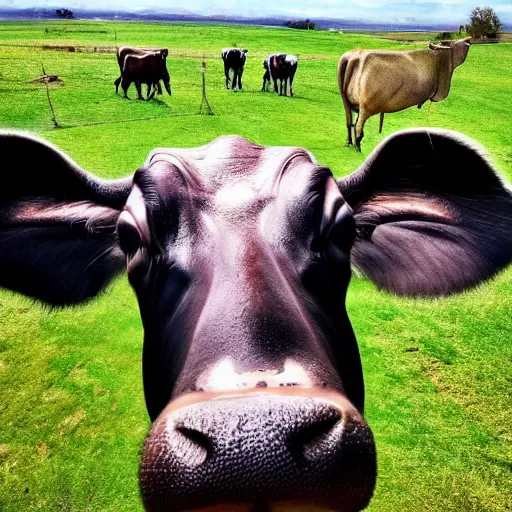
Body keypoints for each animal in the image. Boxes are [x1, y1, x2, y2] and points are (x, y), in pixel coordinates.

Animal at [338, 37, 474, 150]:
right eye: (453, 42)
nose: (469, 39)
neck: (438, 60)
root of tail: (356, 56)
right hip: (365, 107)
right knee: (358, 127)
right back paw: (358, 148)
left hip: (347, 102)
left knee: (349, 122)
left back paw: (349, 143)